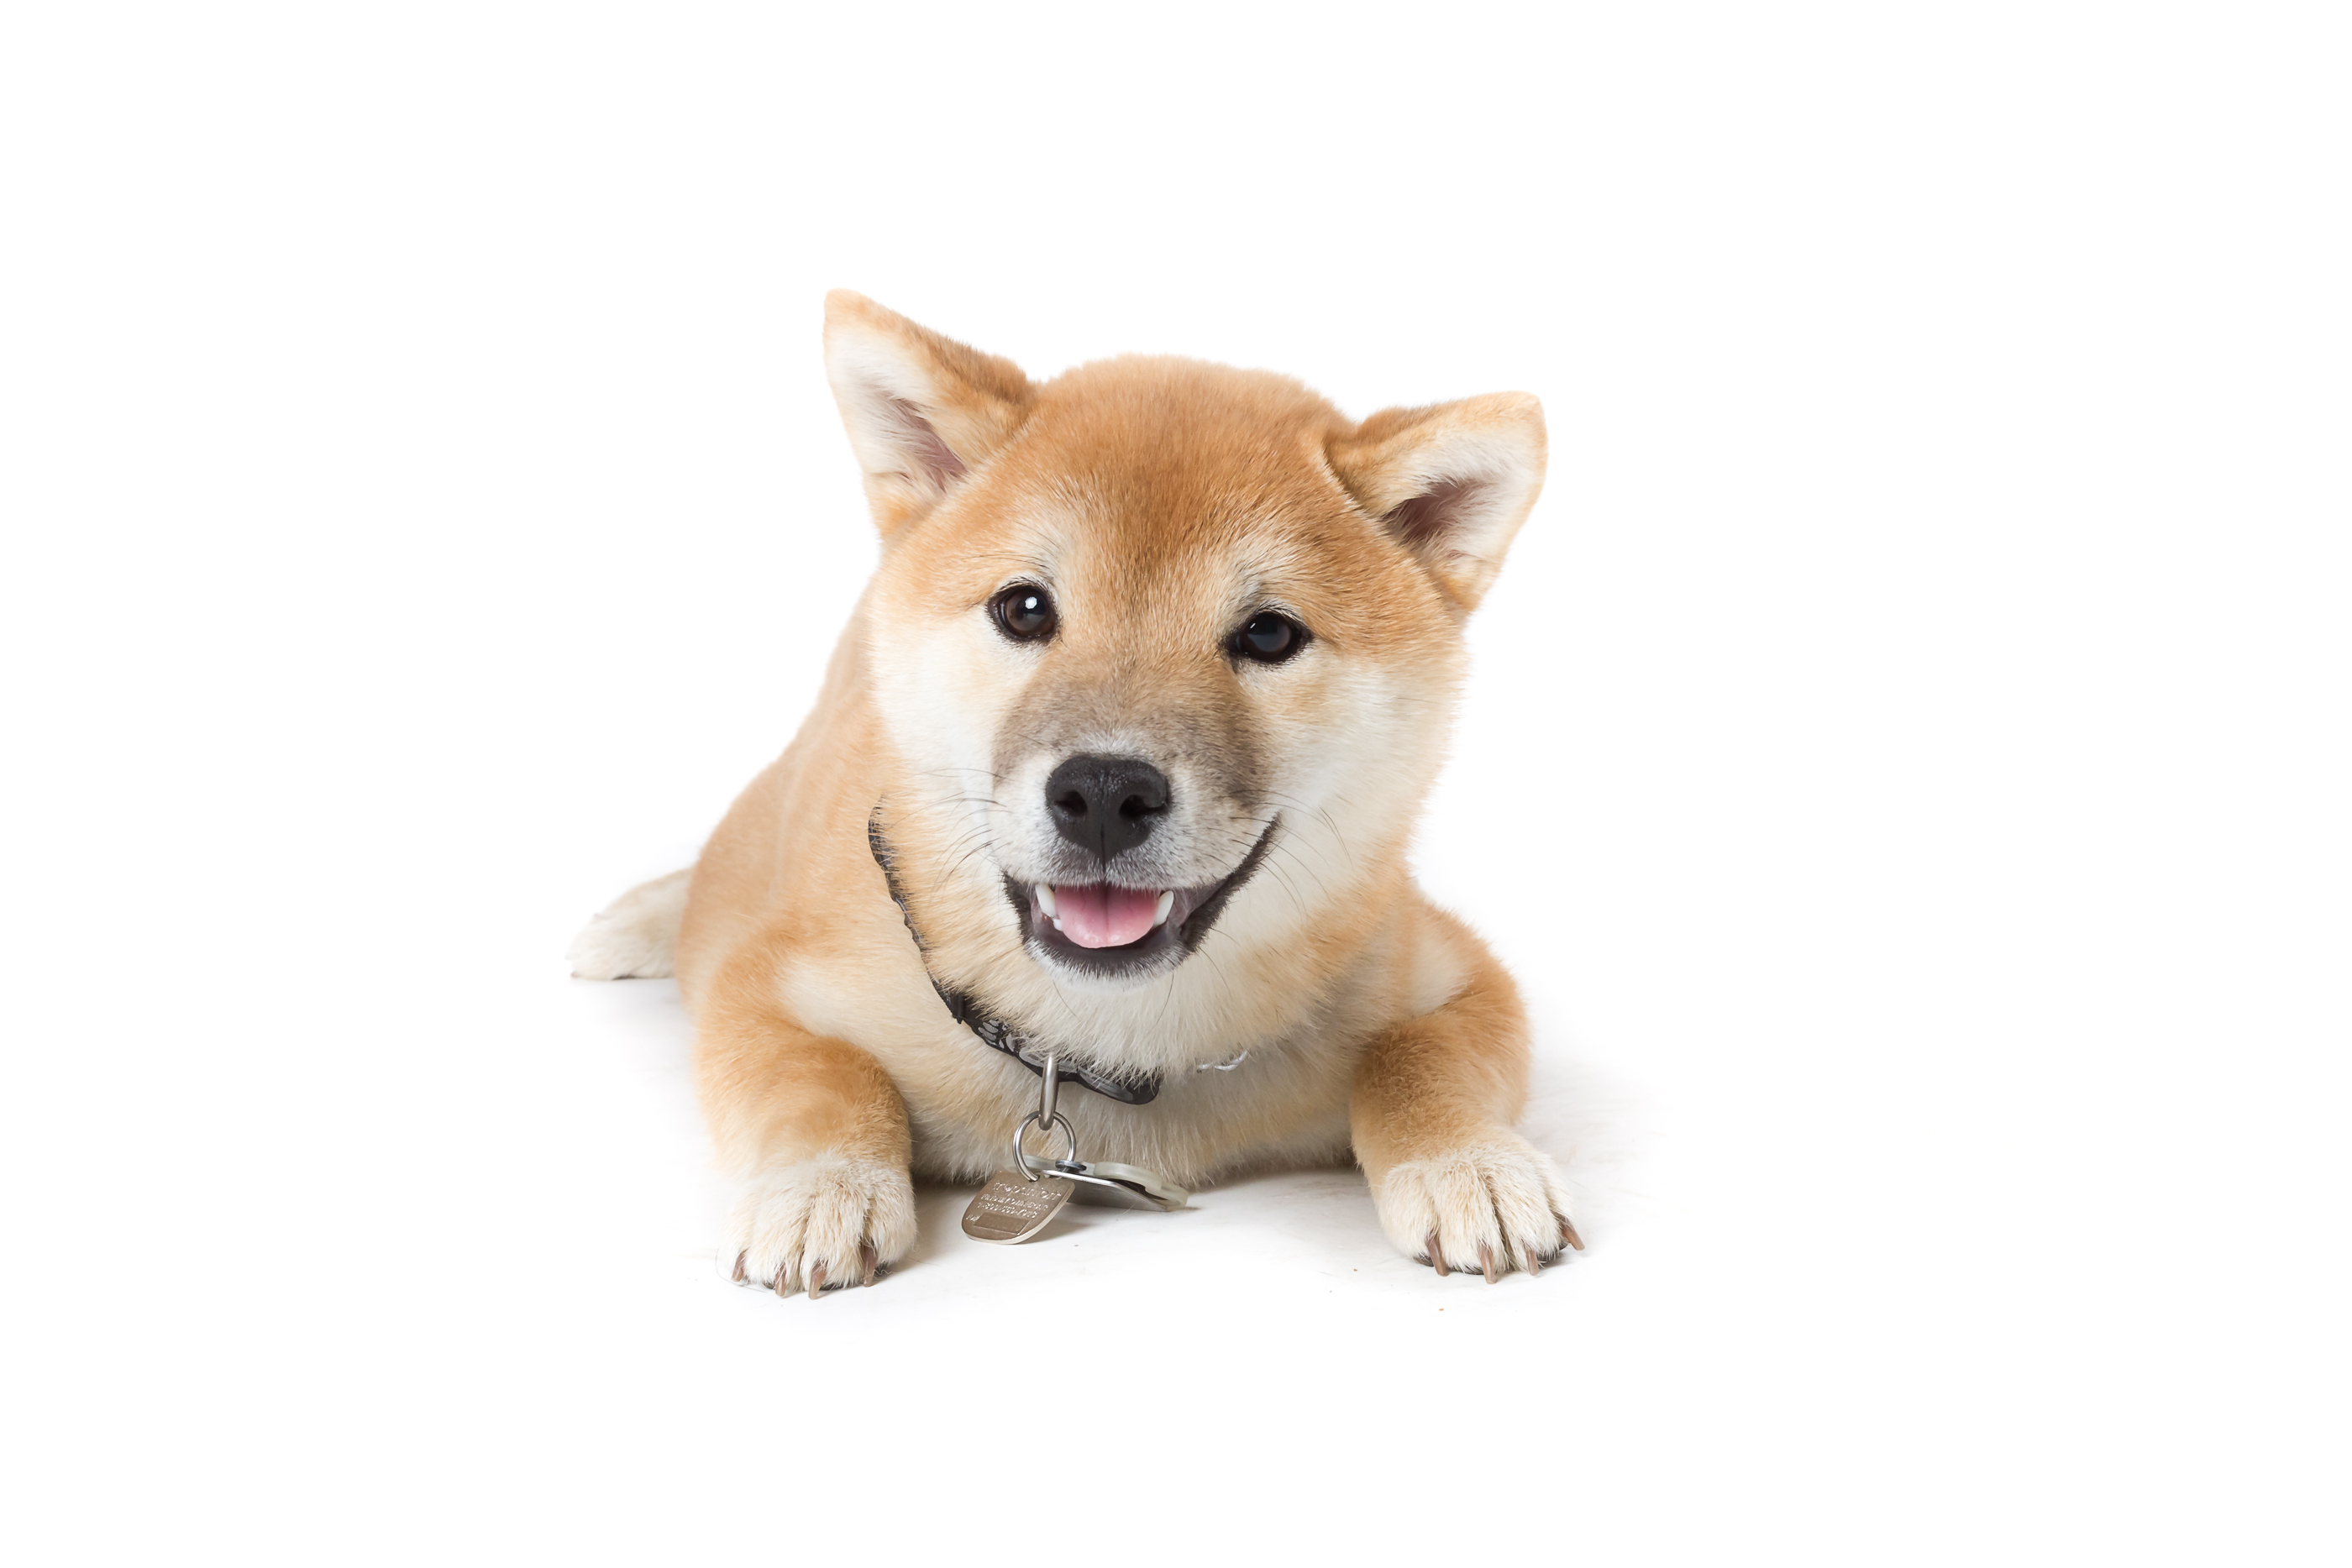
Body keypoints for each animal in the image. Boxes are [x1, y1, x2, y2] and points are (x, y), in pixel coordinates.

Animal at [569, 293, 1580, 1298]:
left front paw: (1470, 1162)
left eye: (1268, 635)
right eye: (1024, 609)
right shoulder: (767, 982)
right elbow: (813, 1074)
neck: (1108, 1039)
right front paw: (822, 1182)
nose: (1102, 790)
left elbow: (1419, 1056)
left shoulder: (1453, 971)